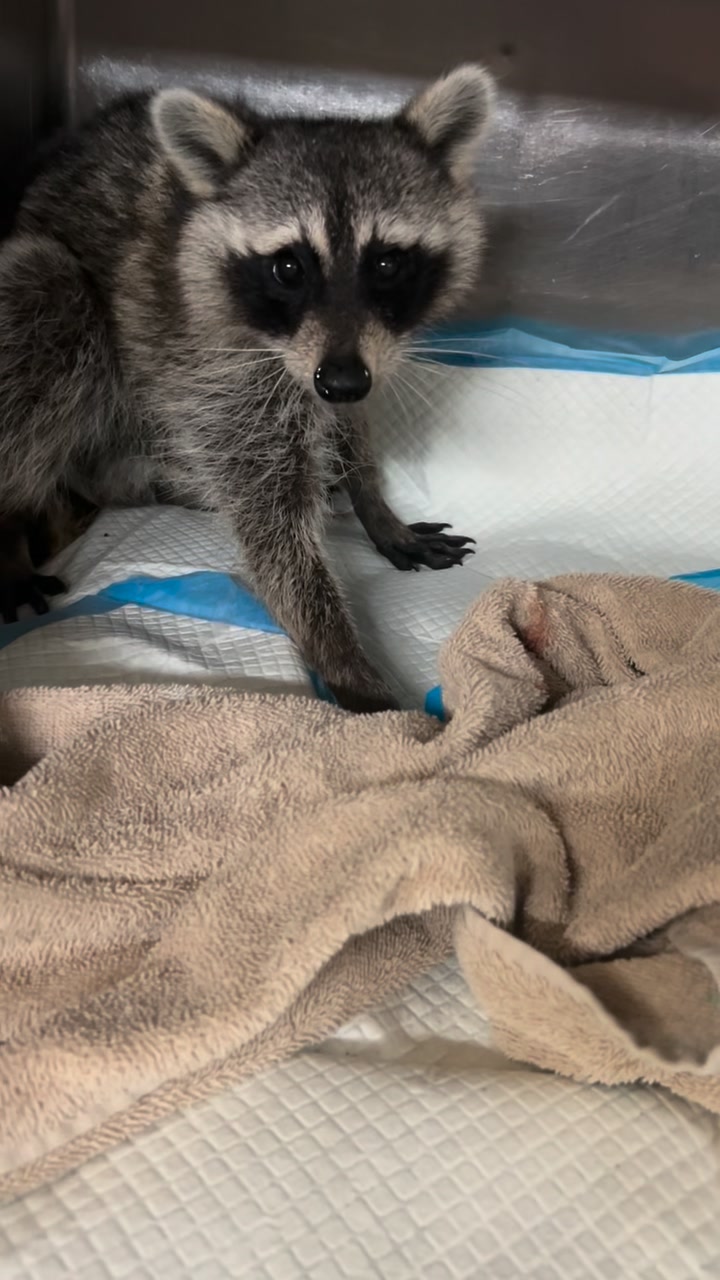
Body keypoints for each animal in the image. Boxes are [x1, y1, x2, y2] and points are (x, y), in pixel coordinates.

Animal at [0, 65, 494, 711]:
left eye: (387, 264)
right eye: (289, 267)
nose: (341, 381)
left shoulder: (352, 362)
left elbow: (349, 426)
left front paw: (371, 500)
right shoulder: (215, 369)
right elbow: (271, 520)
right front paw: (345, 663)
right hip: (50, 315)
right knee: (50, 301)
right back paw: (10, 525)